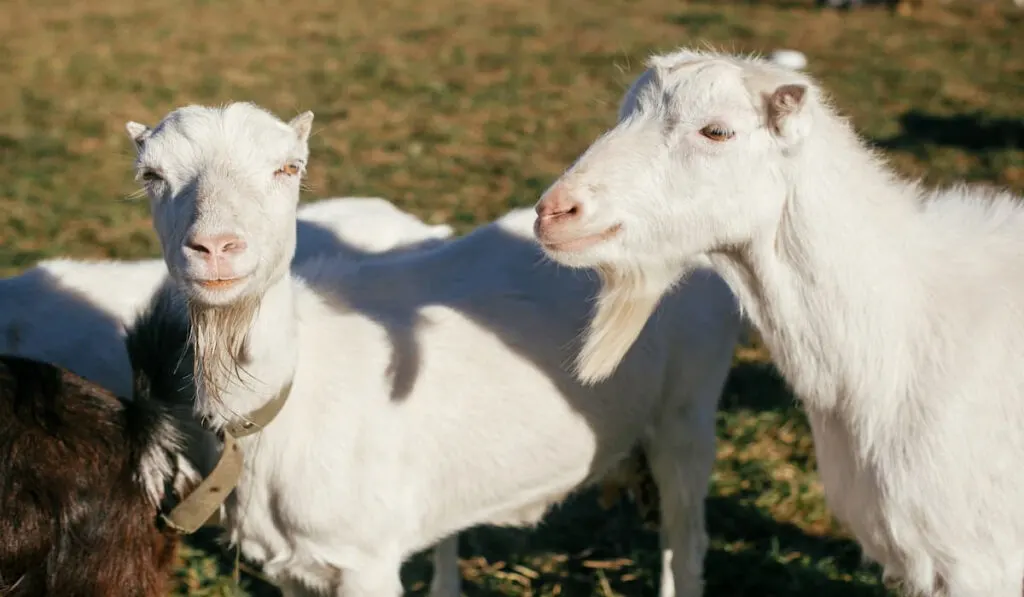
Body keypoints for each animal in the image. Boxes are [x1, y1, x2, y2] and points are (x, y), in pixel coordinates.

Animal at [123, 102, 741, 597]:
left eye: (288, 168)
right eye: (152, 174)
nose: (215, 248)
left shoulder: (364, 561)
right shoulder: (290, 568)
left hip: (689, 405)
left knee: (686, 540)